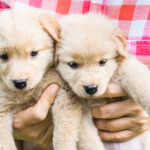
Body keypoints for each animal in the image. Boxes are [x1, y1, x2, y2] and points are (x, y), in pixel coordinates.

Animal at [55, 13, 150, 150]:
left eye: (102, 62)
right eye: (73, 65)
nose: (91, 89)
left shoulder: (125, 69)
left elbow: (141, 84)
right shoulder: (82, 113)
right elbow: (89, 140)